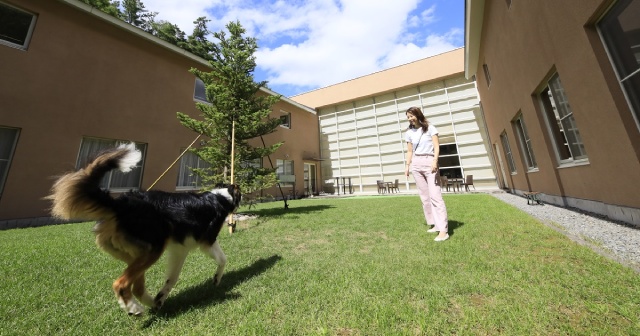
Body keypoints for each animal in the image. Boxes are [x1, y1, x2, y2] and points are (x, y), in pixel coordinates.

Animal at [45, 143, 240, 316]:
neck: (220, 197)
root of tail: (120, 205)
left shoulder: (180, 249)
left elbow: (172, 277)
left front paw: (162, 296)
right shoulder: (207, 241)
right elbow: (223, 259)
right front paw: (216, 279)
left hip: (135, 252)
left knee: (136, 286)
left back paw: (151, 302)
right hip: (152, 248)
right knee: (121, 283)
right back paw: (135, 308)